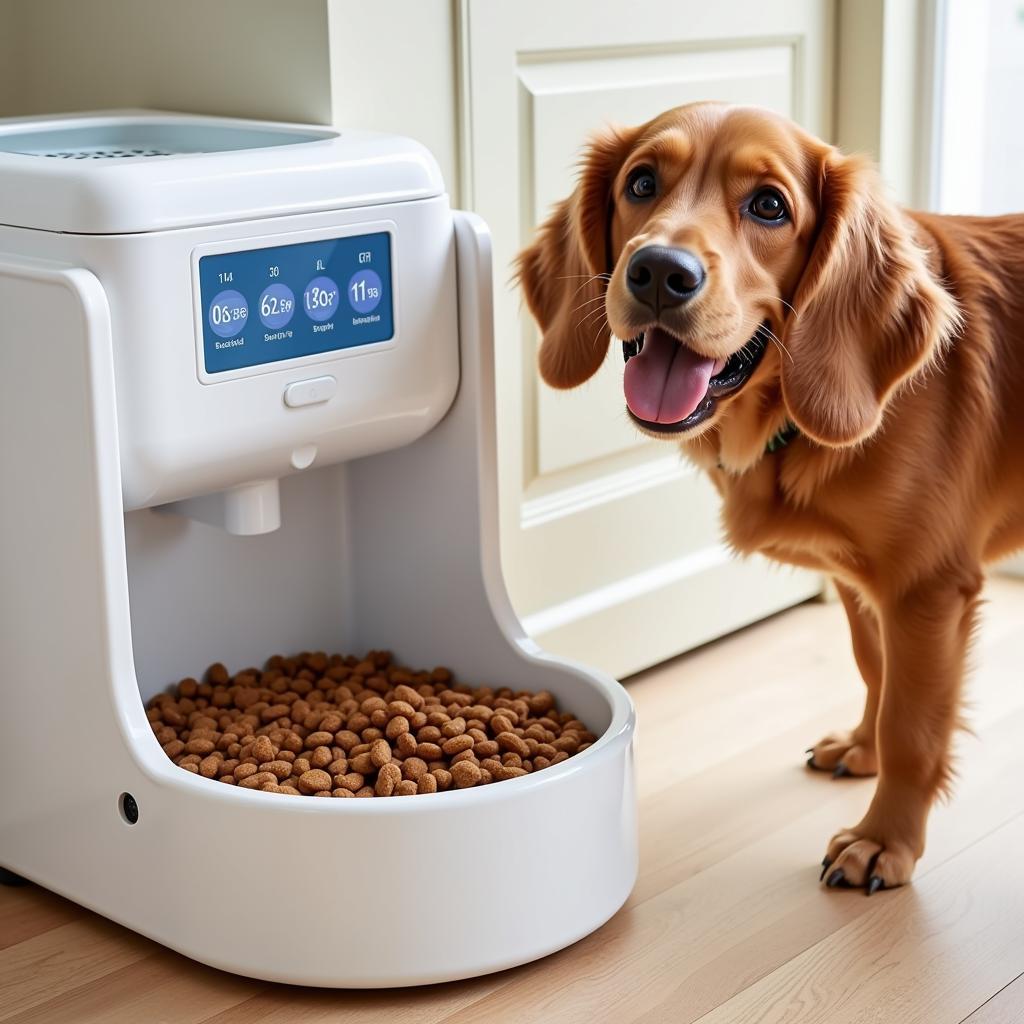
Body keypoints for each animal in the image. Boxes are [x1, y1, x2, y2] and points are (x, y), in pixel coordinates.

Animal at [516, 99, 1024, 892]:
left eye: (768, 206)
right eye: (641, 183)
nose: (659, 272)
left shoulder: (927, 589)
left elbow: (912, 725)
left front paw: (885, 839)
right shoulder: (862, 585)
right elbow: (875, 669)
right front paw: (864, 747)